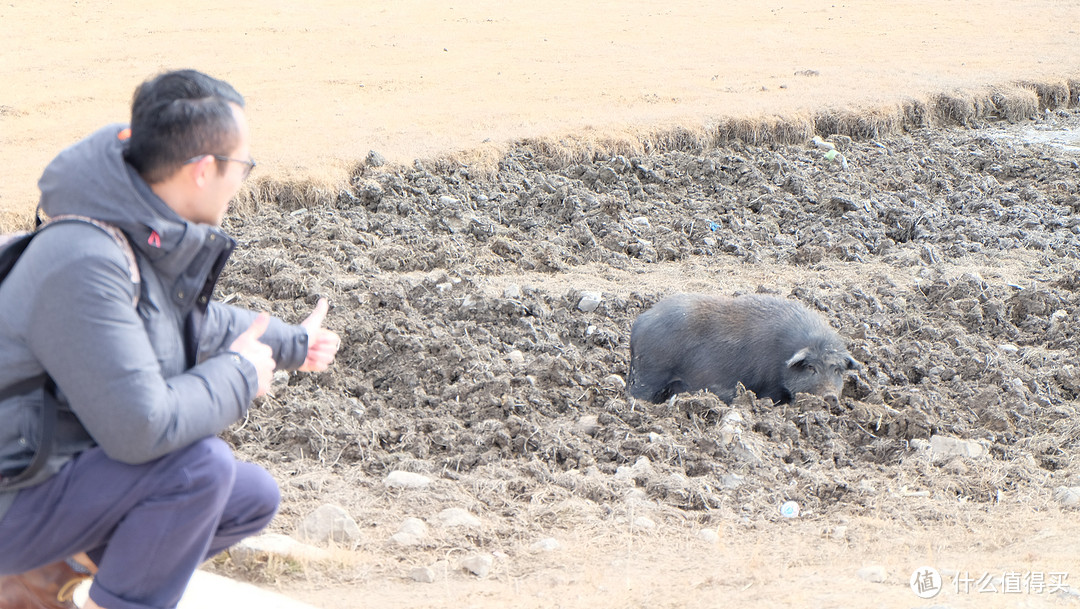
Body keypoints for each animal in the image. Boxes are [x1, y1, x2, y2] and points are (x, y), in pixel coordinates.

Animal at [626, 293, 859, 403]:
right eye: (811, 367)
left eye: (838, 370)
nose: (830, 396)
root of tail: (640, 321)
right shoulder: (769, 388)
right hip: (650, 372)